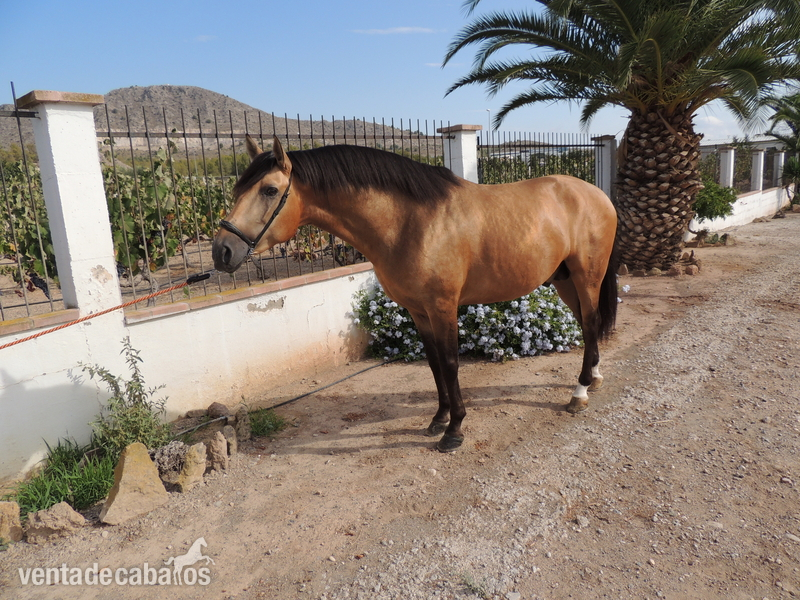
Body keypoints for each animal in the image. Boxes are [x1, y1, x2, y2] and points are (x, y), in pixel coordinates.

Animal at [212, 135, 618, 452]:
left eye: (269, 190)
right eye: (237, 189)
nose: (222, 251)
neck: (413, 222)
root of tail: (597, 194)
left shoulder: (443, 307)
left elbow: (451, 363)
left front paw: (454, 430)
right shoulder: (418, 310)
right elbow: (435, 364)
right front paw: (439, 419)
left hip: (587, 277)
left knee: (591, 322)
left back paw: (580, 393)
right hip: (564, 280)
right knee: (587, 326)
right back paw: (594, 378)